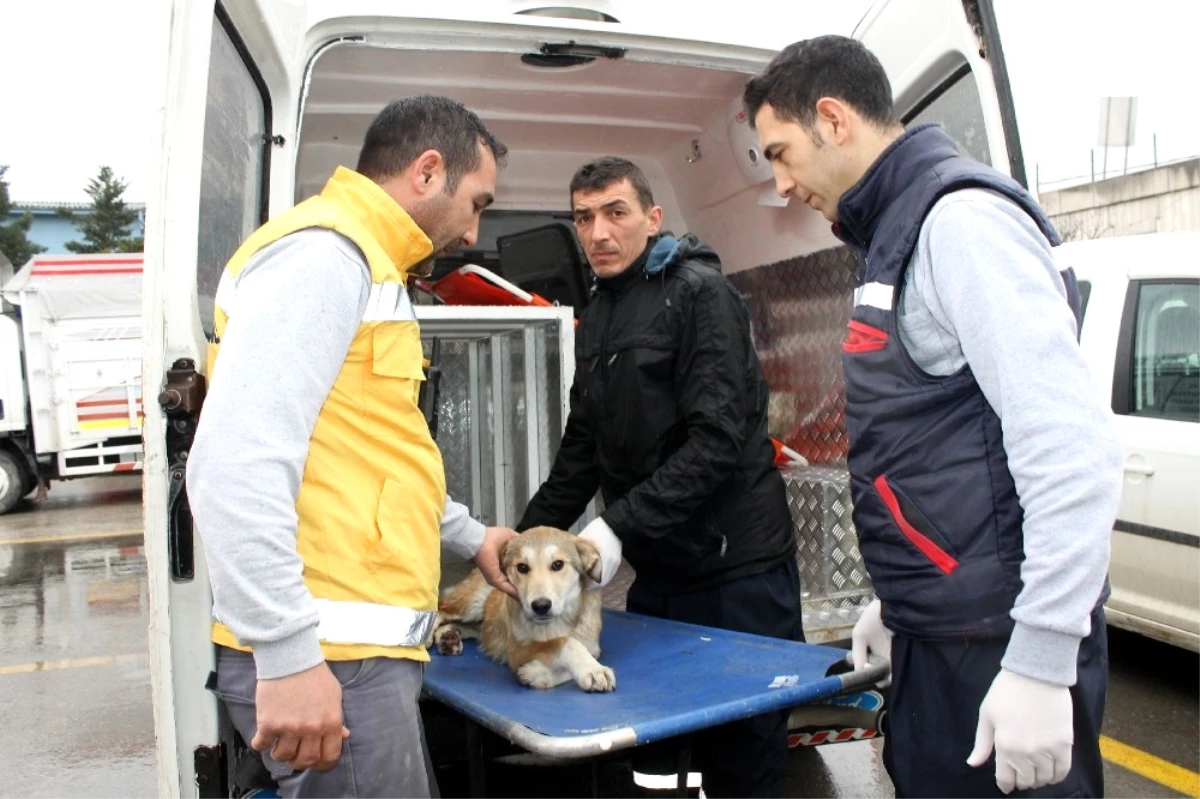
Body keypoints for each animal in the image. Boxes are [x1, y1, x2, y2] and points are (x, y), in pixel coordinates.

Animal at [429, 523, 614, 691]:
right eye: (522, 567)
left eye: (558, 564)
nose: (540, 606)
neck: (560, 621)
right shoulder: (517, 651)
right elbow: (563, 642)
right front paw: (592, 670)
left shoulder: (593, 647)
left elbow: (575, 651)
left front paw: (541, 674)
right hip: (471, 603)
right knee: (441, 609)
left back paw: (448, 638)